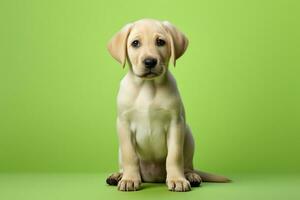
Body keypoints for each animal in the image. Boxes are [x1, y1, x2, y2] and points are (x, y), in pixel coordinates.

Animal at [106, 19, 230, 192]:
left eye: (160, 42)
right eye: (135, 43)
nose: (150, 61)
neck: (148, 86)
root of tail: (153, 177)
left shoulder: (175, 123)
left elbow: (174, 156)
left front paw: (178, 180)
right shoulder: (124, 124)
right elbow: (130, 156)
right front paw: (129, 179)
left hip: (188, 134)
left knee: (187, 165)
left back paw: (191, 176)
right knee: (124, 162)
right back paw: (118, 175)